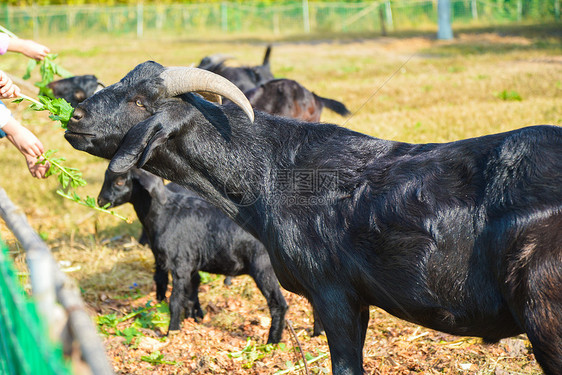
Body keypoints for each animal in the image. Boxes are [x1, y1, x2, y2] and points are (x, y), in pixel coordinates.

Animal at [97, 167, 288, 344]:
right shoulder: (188, 265)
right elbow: (188, 296)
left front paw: (172, 331)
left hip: (263, 268)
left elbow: (175, 301)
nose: (100, 201)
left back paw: (272, 342)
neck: (165, 213)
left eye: (120, 181)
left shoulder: (180, 265)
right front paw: (191, 320)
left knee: (278, 304)